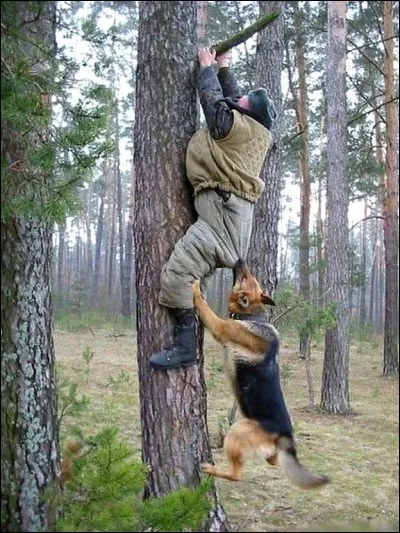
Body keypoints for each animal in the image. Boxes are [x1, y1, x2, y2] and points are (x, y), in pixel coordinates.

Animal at [193, 260, 328, 488]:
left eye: (246, 278)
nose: (240, 260)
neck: (251, 315)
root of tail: (284, 435)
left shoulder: (220, 326)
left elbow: (204, 306)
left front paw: (195, 289)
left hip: (236, 432)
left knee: (236, 474)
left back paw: (211, 469)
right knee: (272, 461)